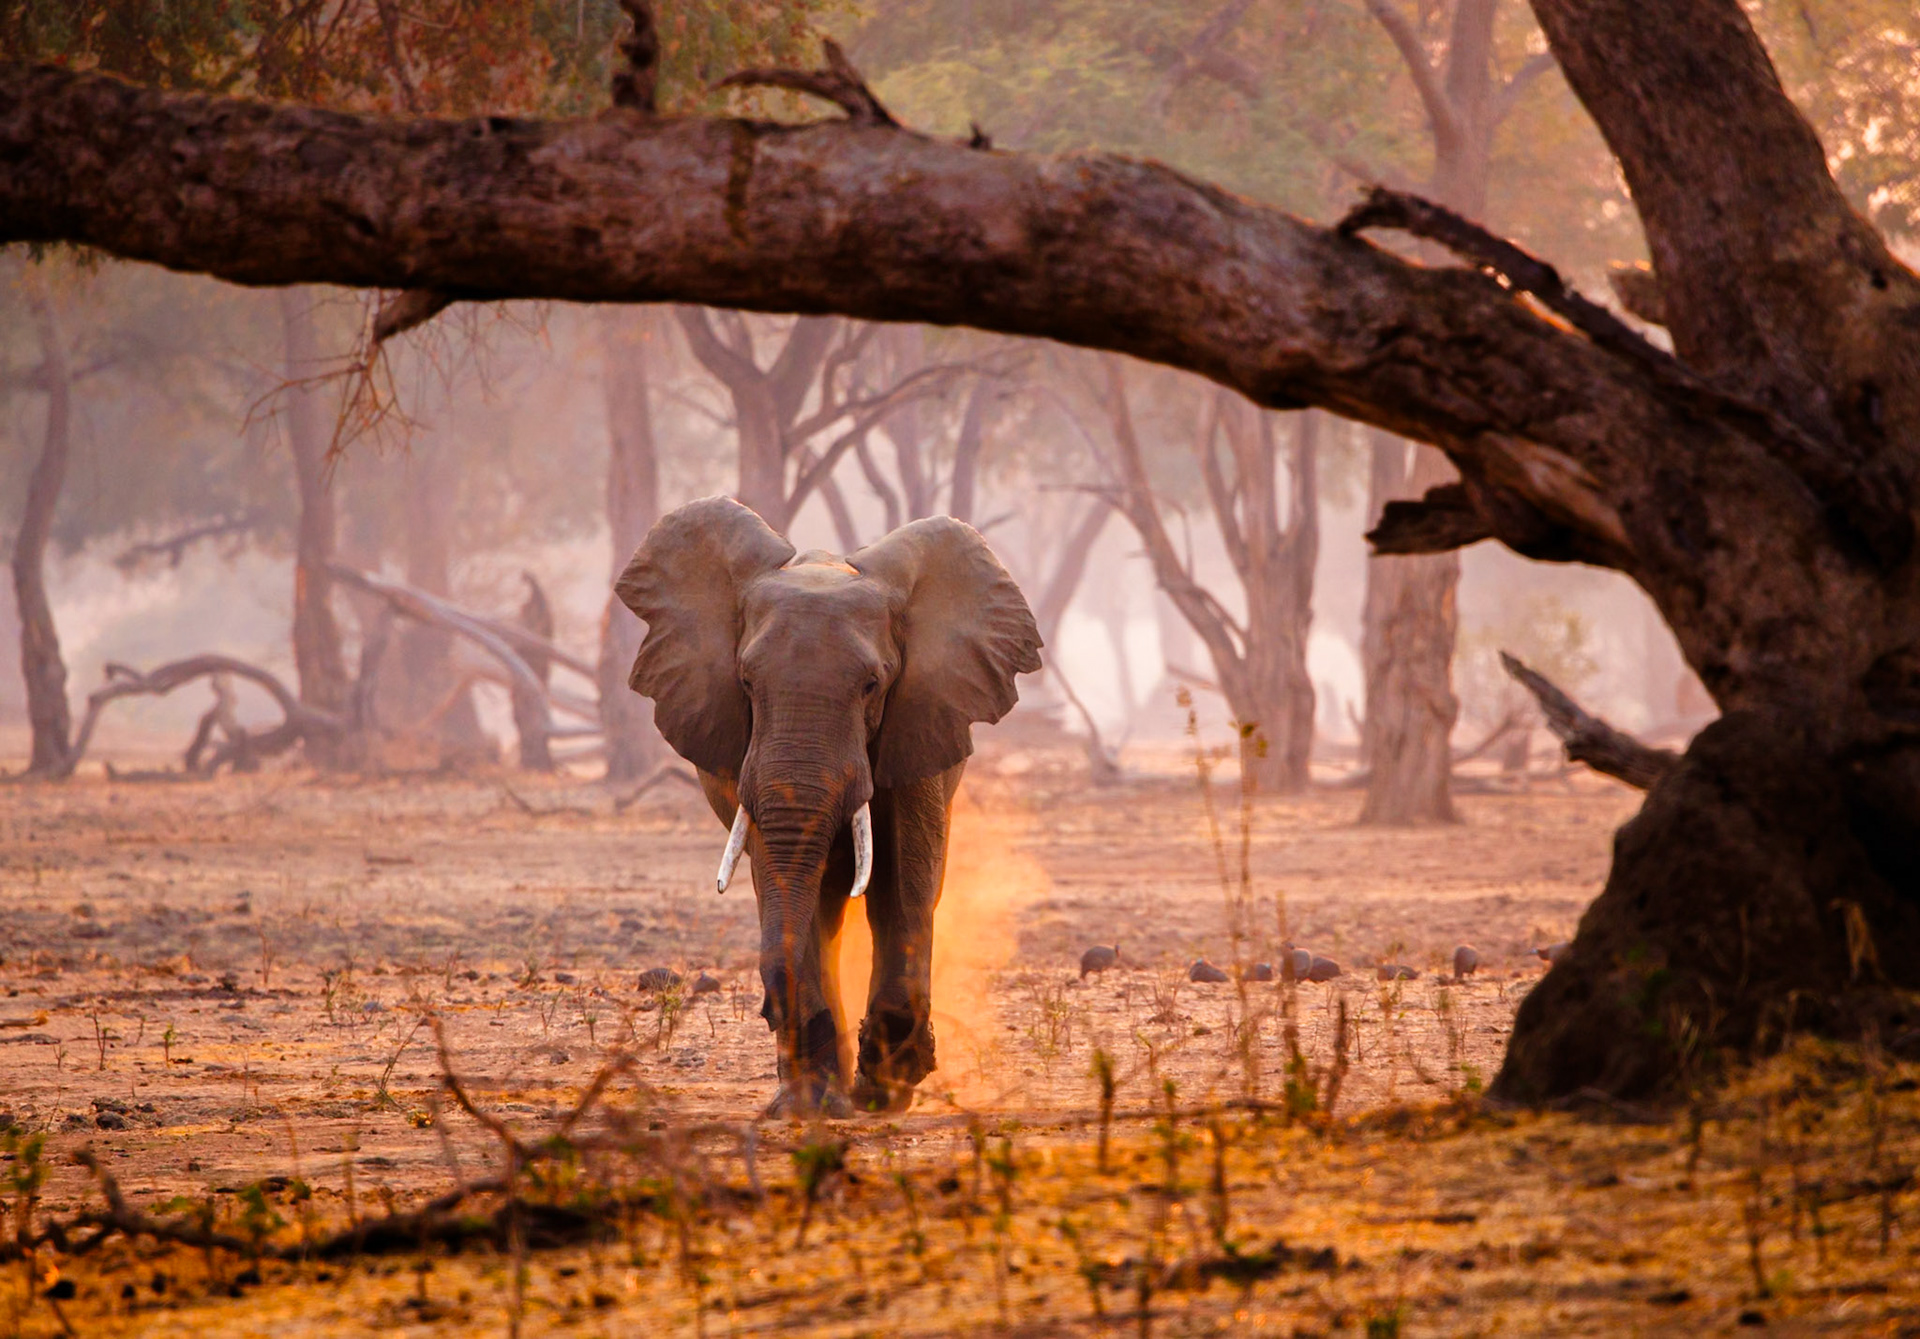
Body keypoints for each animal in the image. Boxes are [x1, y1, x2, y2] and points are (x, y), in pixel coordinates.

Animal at [615, 497, 1042, 1116]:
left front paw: (884, 1088)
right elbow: (788, 883)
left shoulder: (916, 721)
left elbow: (902, 884)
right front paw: (819, 1099)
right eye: (746, 683)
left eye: (871, 685)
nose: (771, 1013)